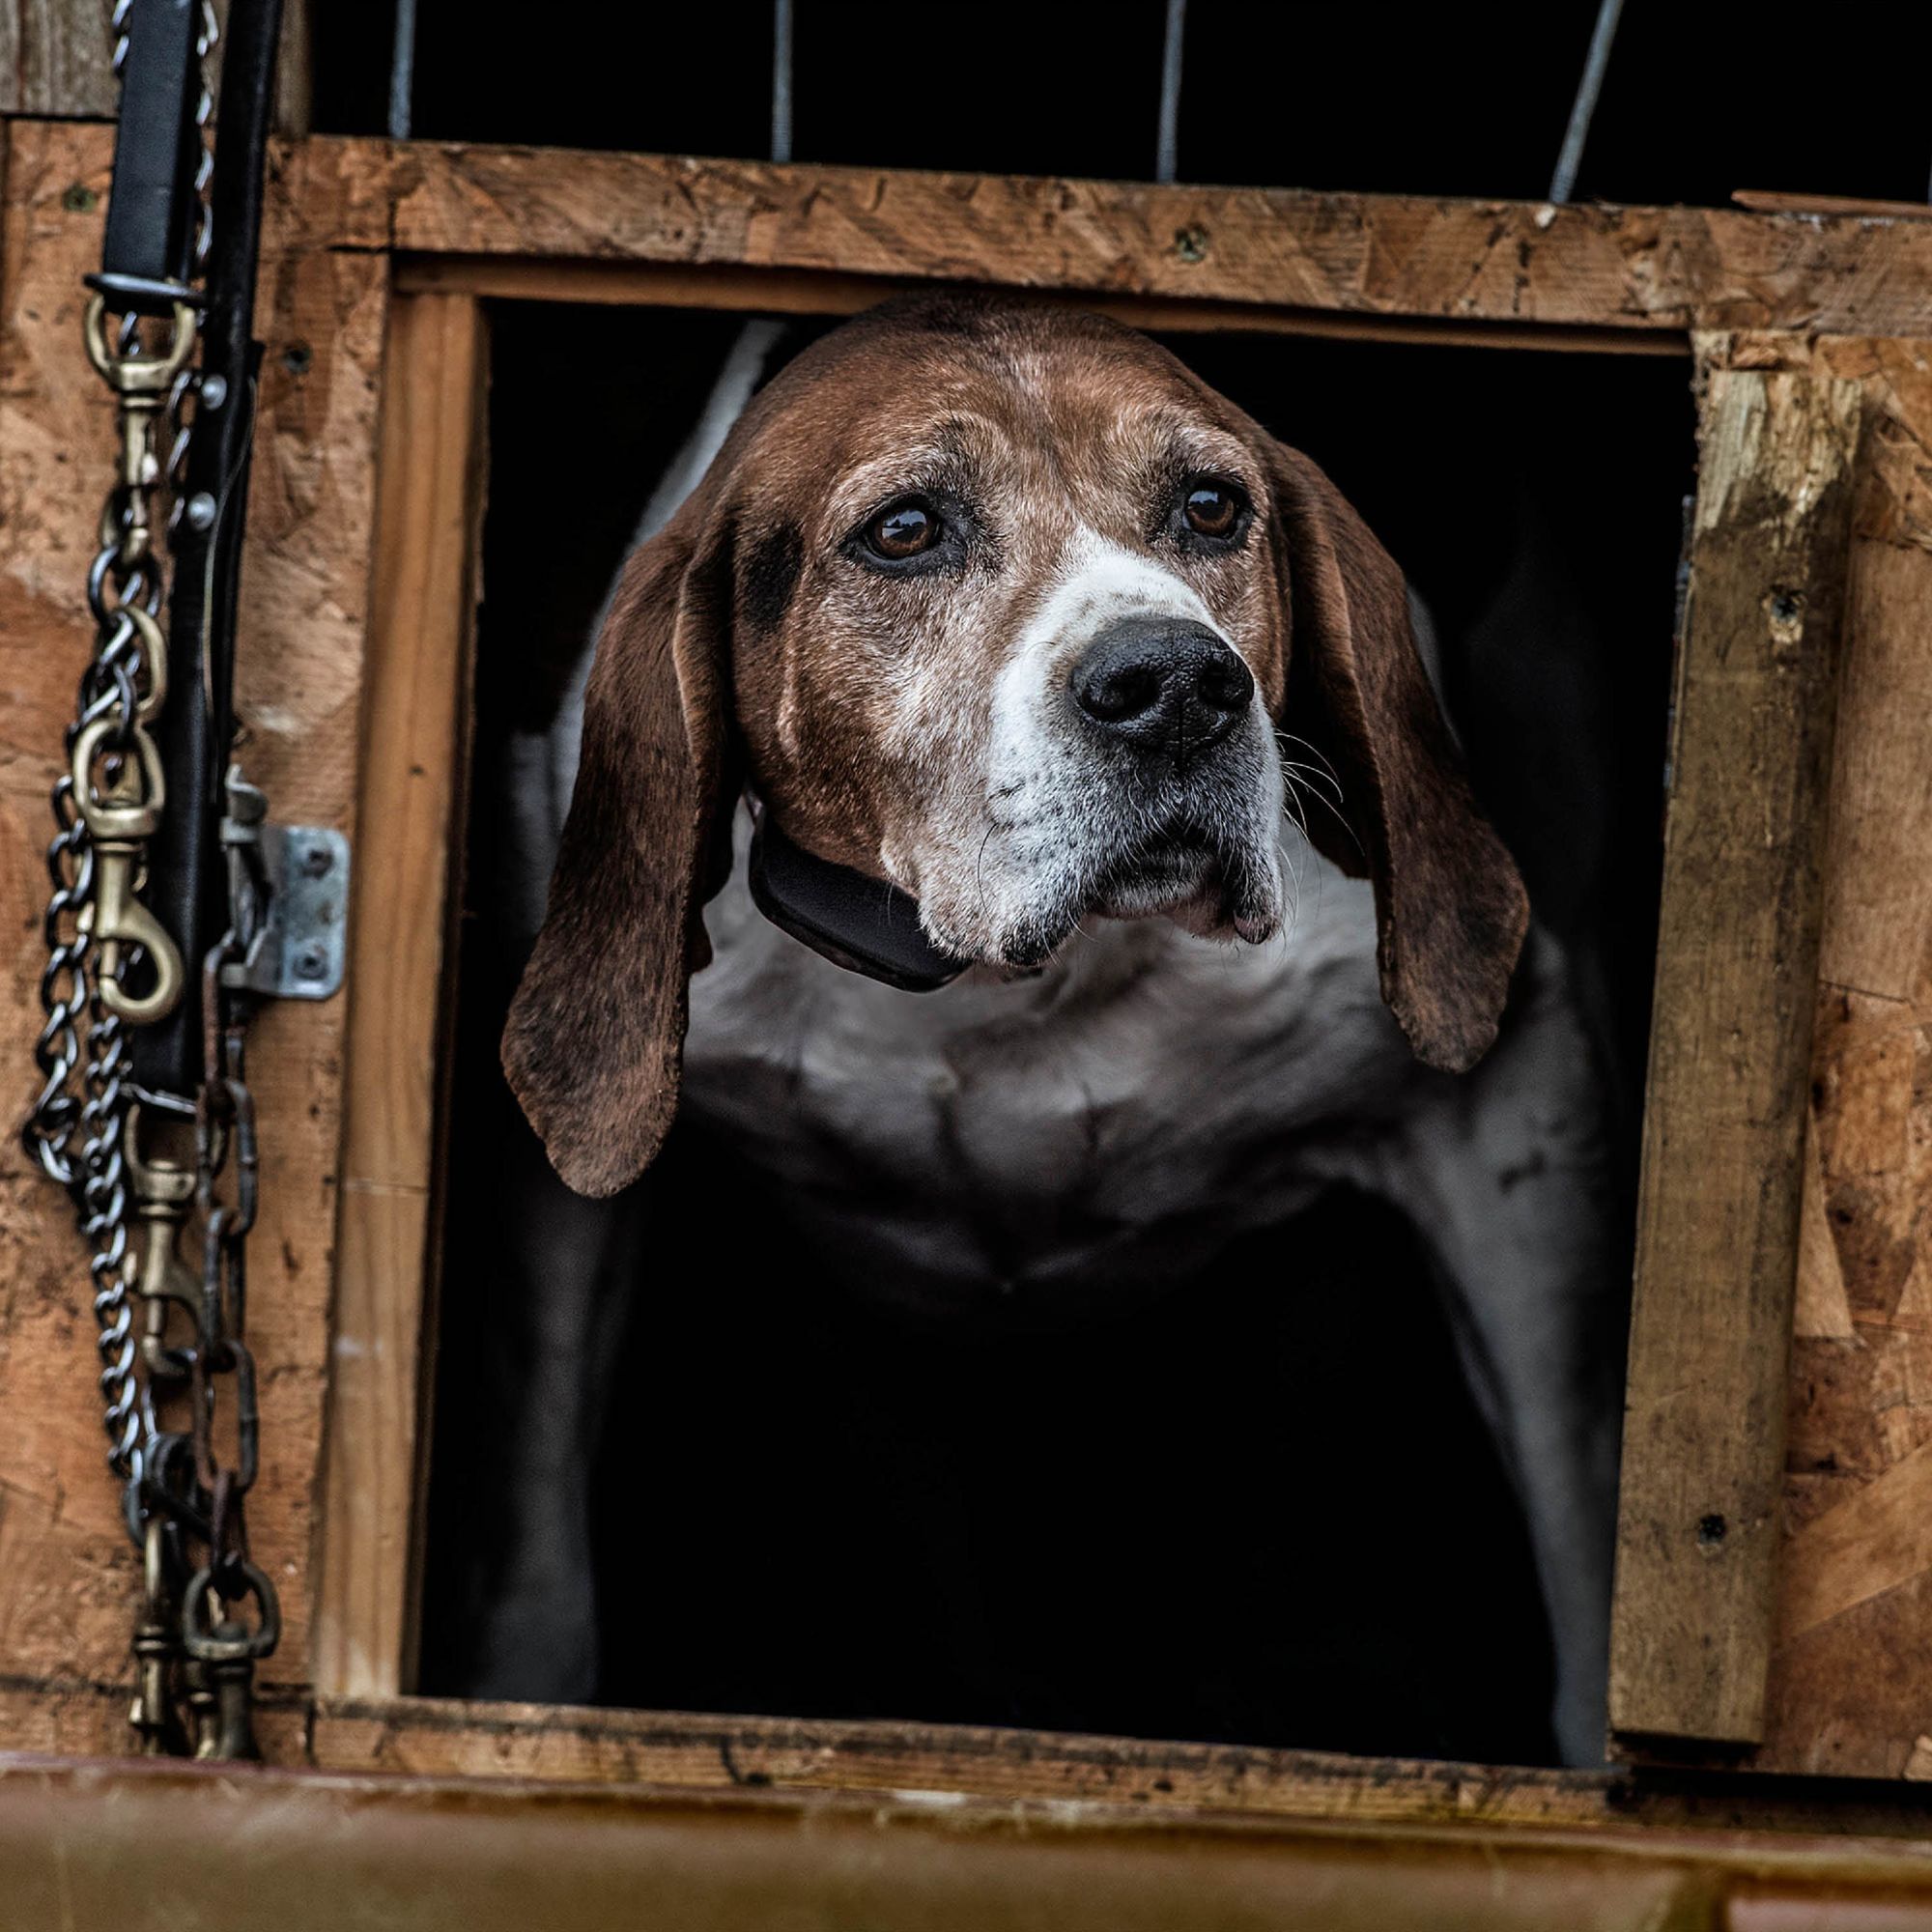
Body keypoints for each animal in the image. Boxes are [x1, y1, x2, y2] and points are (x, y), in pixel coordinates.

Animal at [495, 298, 1615, 1770]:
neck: (1003, 982)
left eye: (1211, 506)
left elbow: (1588, 1543)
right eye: (905, 530)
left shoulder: (1511, 1112)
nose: (1180, 685)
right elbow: (541, 1551)